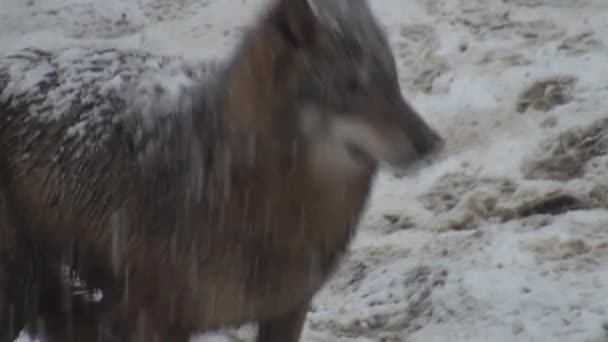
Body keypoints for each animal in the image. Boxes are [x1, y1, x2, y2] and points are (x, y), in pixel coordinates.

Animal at [0, 0, 444, 340]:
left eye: (392, 81)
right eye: (352, 87)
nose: (432, 142)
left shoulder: (288, 311)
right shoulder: (154, 321)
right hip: (22, 296)